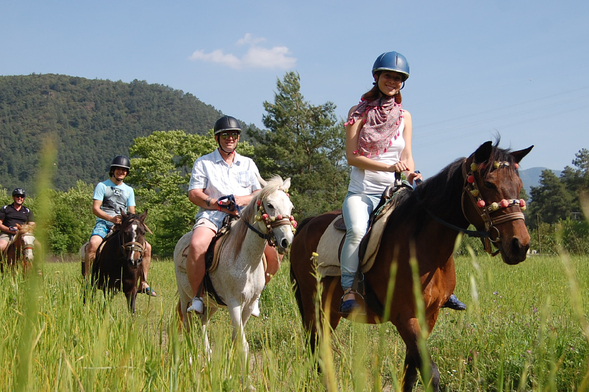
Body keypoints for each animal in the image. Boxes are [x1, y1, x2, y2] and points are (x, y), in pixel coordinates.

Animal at [173, 176, 294, 356]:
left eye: (291, 207)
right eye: (270, 205)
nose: (287, 241)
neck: (246, 263)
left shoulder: (248, 305)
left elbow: (236, 339)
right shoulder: (234, 303)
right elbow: (243, 344)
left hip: (211, 303)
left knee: (203, 323)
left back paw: (208, 354)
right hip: (185, 297)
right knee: (188, 327)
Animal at [290, 142, 532, 392]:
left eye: (519, 185)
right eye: (489, 183)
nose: (520, 245)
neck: (423, 245)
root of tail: (307, 224)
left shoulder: (429, 316)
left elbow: (411, 372)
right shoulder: (404, 317)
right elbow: (429, 372)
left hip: (329, 309)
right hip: (313, 304)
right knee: (316, 346)